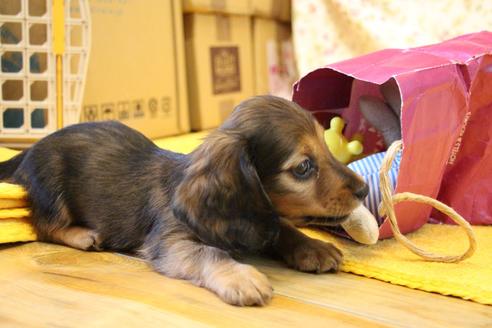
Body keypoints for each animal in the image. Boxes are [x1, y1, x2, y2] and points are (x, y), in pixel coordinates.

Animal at [0, 96, 368, 306]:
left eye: (326, 146)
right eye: (304, 167)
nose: (364, 190)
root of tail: (28, 151)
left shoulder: (259, 217)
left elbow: (280, 226)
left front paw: (312, 247)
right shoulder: (170, 241)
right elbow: (210, 252)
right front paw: (241, 277)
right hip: (52, 186)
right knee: (43, 225)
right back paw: (83, 235)